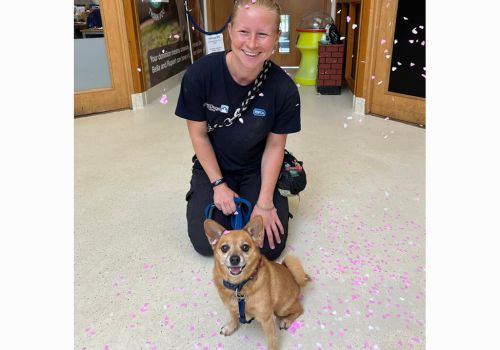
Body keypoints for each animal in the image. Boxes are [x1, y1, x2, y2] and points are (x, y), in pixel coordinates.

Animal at [203, 215, 308, 348]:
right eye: (224, 248)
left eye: (245, 247)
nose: (234, 259)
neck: (239, 286)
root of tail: (293, 277)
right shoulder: (231, 307)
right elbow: (233, 317)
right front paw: (231, 327)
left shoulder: (267, 319)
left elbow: (271, 341)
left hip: (282, 309)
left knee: (300, 309)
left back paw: (286, 321)